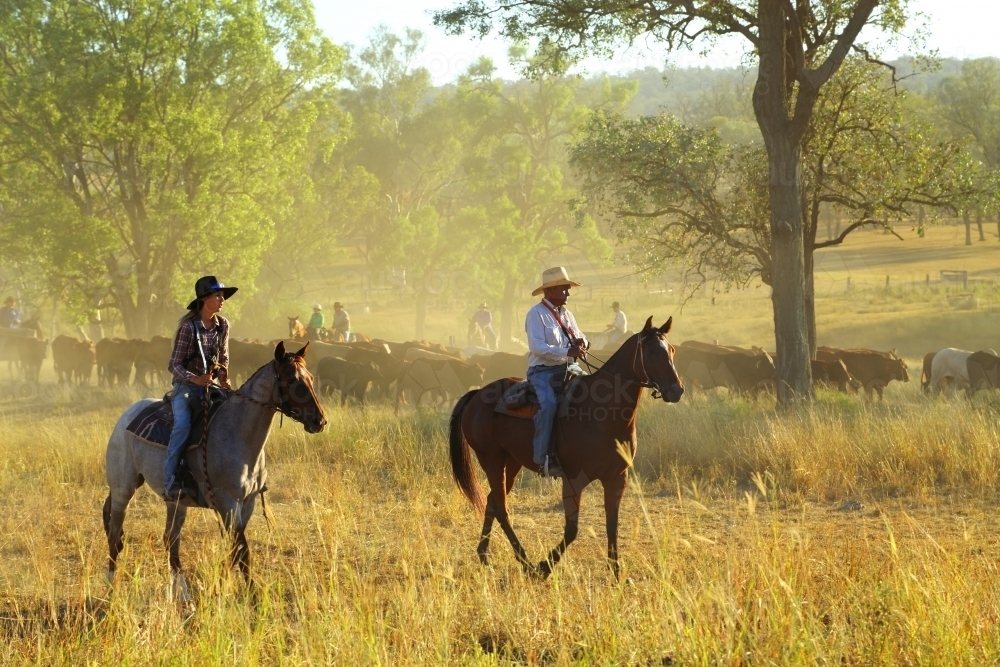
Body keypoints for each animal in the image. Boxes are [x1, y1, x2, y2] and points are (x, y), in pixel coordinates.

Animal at [103, 344, 326, 600]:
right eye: (291, 379)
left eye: (310, 378)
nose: (320, 421)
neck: (237, 433)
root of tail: (127, 415)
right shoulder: (227, 502)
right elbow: (242, 551)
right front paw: (251, 597)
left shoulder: (247, 503)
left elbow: (234, 550)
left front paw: (222, 586)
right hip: (123, 488)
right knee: (115, 534)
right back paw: (110, 586)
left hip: (176, 501)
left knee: (170, 539)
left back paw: (182, 592)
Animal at [450, 318, 684, 580]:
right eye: (651, 352)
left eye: (672, 350)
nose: (676, 390)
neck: (602, 412)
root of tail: (476, 395)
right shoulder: (573, 480)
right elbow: (572, 529)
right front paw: (544, 567)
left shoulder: (616, 478)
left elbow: (612, 525)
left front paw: (617, 573)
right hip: (491, 459)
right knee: (501, 507)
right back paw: (526, 562)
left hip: (511, 462)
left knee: (492, 501)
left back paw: (485, 556)